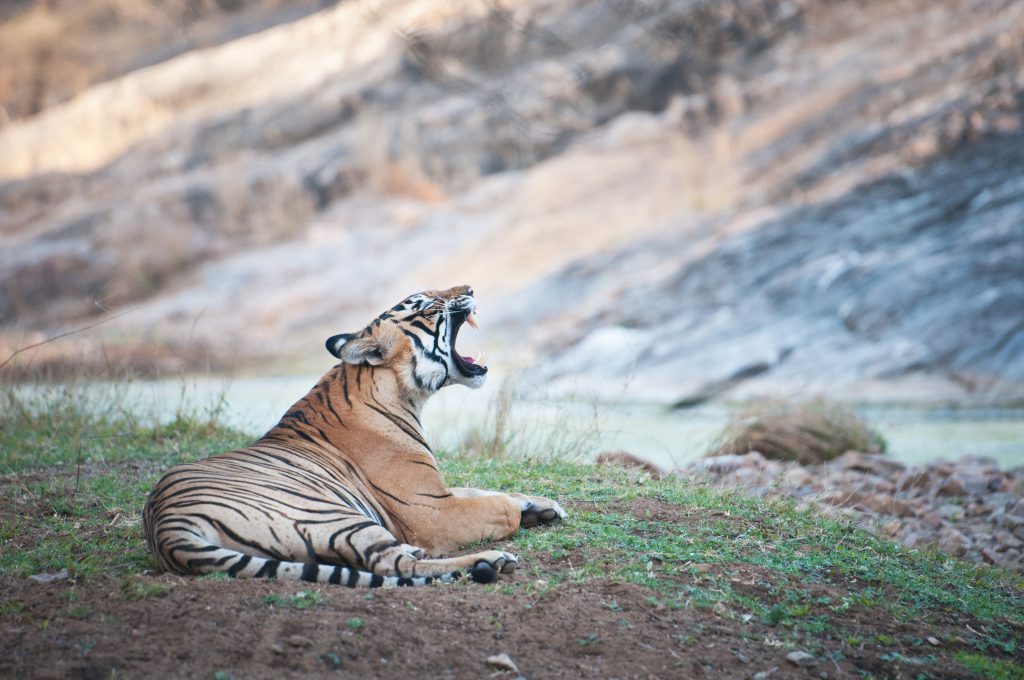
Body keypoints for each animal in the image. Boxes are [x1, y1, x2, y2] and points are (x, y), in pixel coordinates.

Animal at [142, 284, 569, 585]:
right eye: (426, 306)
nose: (471, 288)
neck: (404, 394)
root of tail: (165, 527)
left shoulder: (439, 490)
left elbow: (481, 490)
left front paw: (542, 505)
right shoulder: (431, 509)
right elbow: (497, 506)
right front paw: (521, 510)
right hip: (334, 516)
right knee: (395, 563)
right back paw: (491, 562)